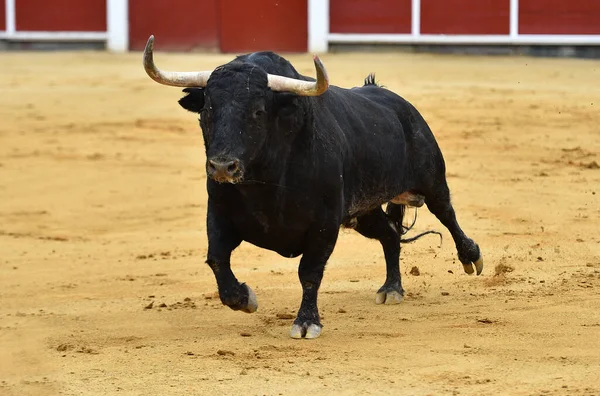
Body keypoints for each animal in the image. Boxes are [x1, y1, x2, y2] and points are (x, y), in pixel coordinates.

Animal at [144, 37, 482, 338]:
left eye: (258, 111)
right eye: (207, 110)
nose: (222, 166)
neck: (265, 179)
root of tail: (400, 105)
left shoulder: (324, 222)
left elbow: (309, 272)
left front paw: (307, 323)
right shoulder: (219, 212)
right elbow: (217, 259)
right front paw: (243, 298)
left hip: (432, 180)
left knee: (447, 215)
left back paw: (471, 258)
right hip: (363, 213)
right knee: (389, 235)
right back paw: (391, 289)